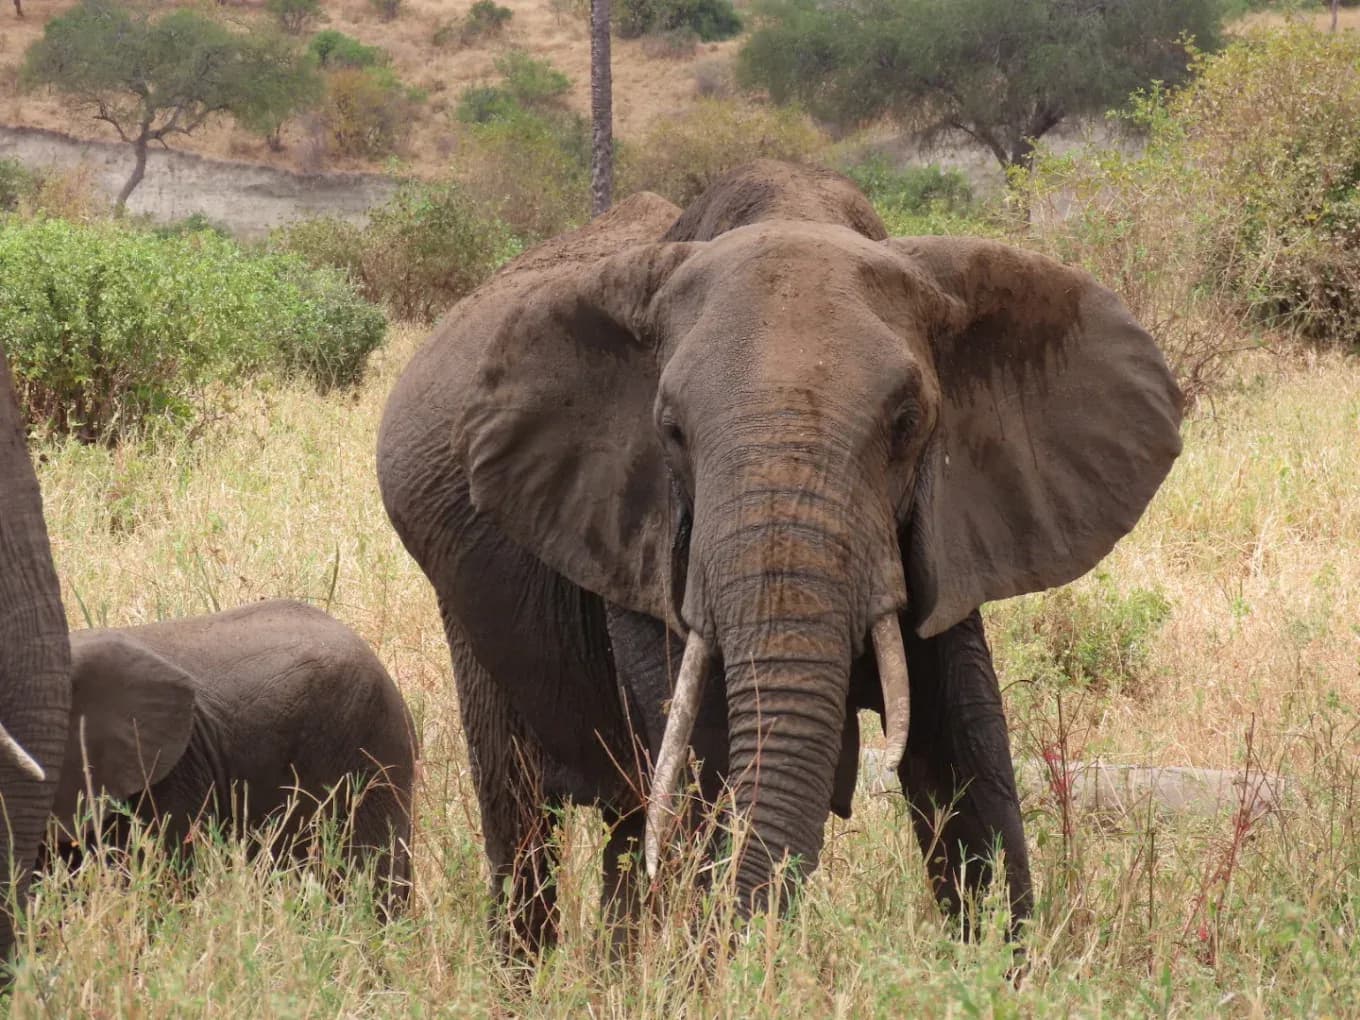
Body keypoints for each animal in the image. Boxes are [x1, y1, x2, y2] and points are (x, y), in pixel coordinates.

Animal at [376, 159, 1183, 952]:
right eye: (670, 431)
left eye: (908, 423)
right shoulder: (636, 533)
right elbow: (707, 755)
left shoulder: (949, 527)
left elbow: (965, 751)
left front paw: (992, 965)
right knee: (524, 816)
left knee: (628, 823)